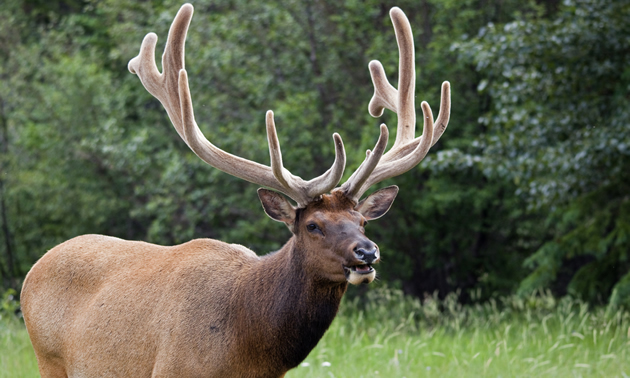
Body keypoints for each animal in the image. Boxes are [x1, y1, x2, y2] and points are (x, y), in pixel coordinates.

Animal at [22, 3, 452, 378]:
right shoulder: (172, 369)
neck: (247, 348)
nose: (367, 252)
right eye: (313, 225)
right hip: (49, 360)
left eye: (362, 221)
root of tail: (34, 270)